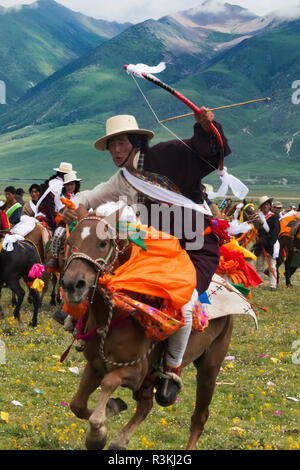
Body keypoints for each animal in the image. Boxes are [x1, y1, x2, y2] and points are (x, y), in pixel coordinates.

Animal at [61, 207, 233, 452]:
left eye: (103, 243)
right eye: (69, 241)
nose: (72, 284)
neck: (118, 314)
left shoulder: (135, 372)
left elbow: (109, 383)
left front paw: (98, 431)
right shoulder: (95, 365)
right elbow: (77, 405)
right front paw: (110, 413)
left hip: (210, 367)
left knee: (199, 417)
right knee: (146, 405)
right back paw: (119, 440)